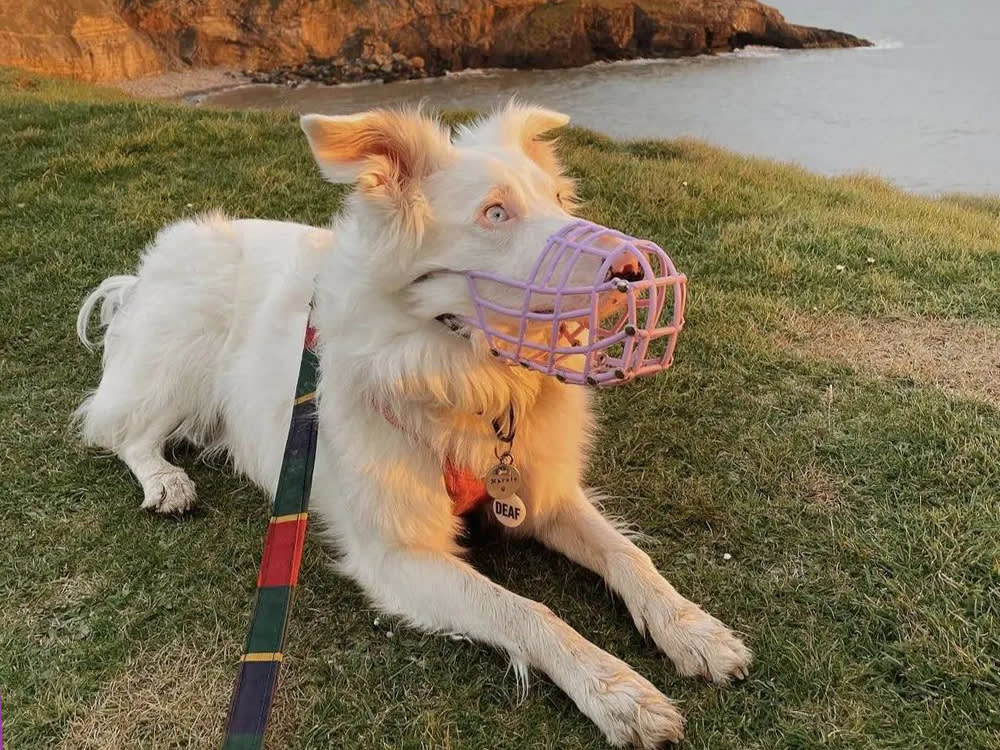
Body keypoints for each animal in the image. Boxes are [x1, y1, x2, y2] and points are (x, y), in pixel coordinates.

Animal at [76, 104, 752, 748]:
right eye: (496, 213)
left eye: (561, 201)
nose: (635, 268)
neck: (464, 383)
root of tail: (143, 275)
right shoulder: (401, 557)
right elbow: (527, 613)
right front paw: (618, 694)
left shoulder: (545, 494)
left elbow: (627, 556)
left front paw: (694, 630)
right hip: (184, 353)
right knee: (119, 428)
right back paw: (165, 481)